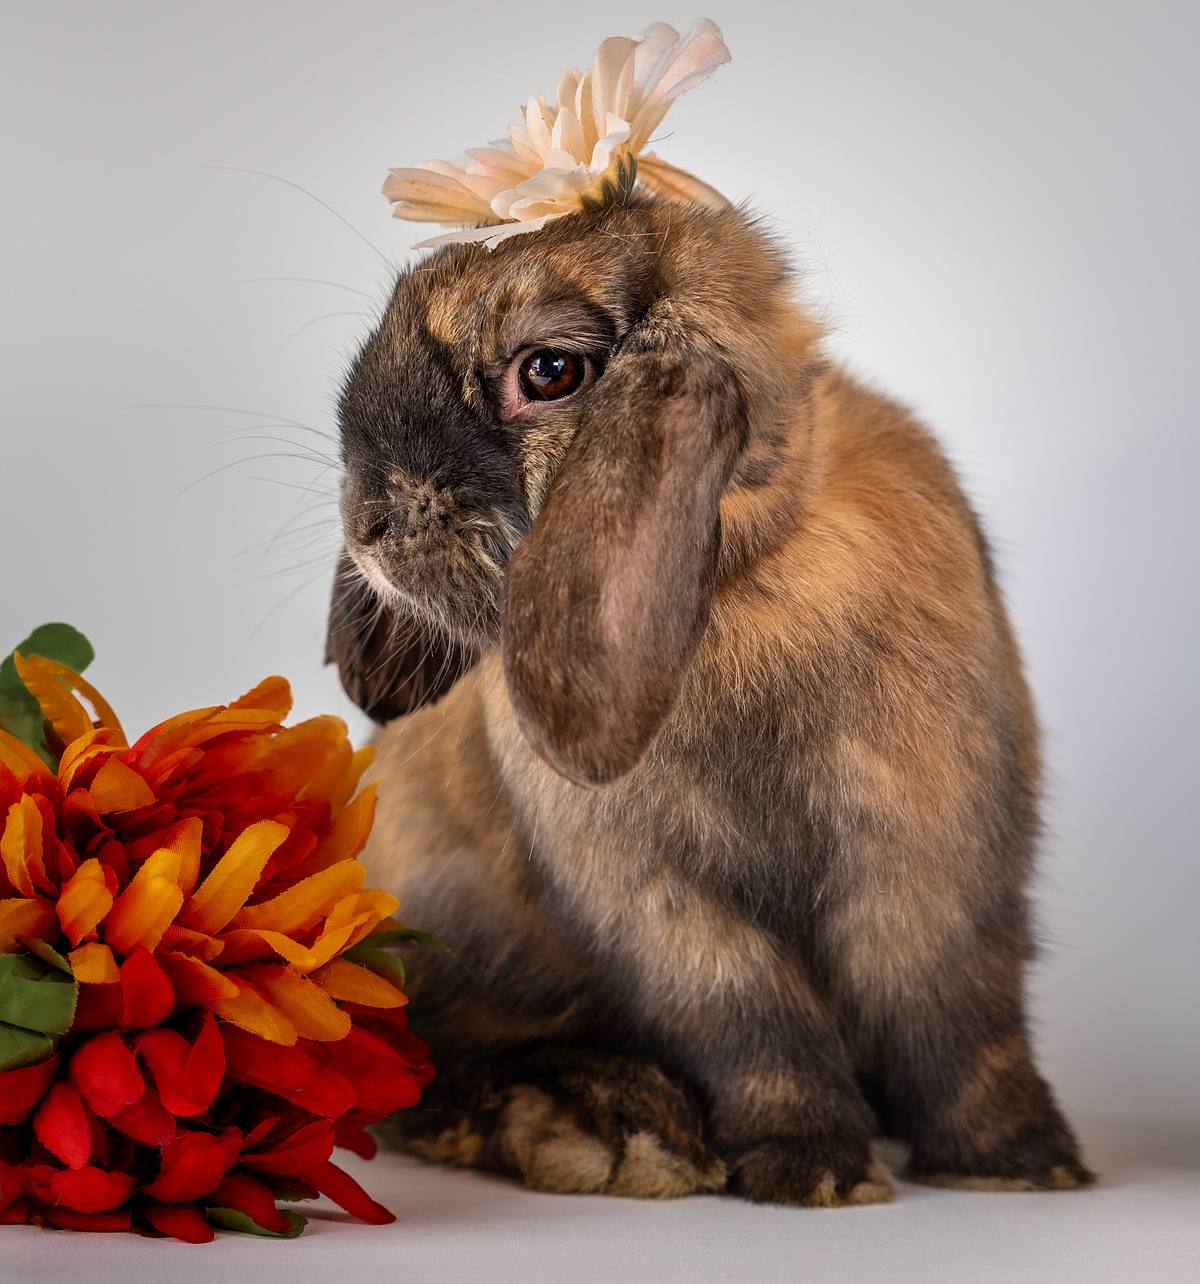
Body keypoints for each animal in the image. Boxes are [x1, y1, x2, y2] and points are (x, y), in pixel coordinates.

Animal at [325, 190, 1093, 1206]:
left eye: (550, 371)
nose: (365, 522)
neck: (744, 582)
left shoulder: (933, 863)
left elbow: (958, 1020)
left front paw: (1021, 1164)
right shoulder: (668, 911)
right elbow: (758, 1029)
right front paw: (813, 1170)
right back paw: (610, 1128)